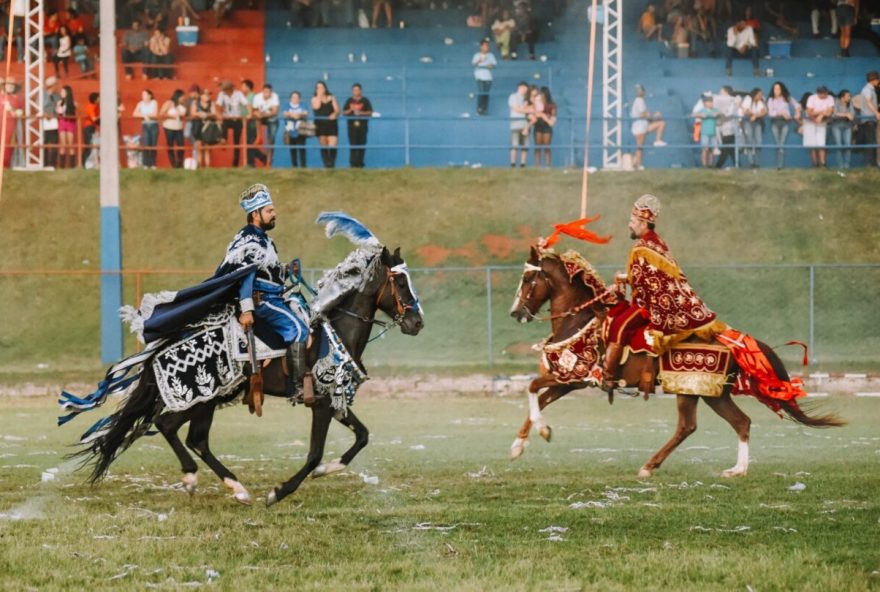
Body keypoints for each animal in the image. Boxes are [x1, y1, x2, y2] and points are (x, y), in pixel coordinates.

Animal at [72, 245, 422, 504]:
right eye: (399, 283)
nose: (417, 322)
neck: (336, 333)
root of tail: (166, 342)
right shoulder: (321, 403)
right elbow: (314, 453)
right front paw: (279, 492)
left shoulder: (335, 398)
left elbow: (362, 436)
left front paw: (328, 470)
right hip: (201, 396)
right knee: (172, 427)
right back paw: (209, 481)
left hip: (209, 399)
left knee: (189, 436)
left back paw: (225, 485)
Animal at [512, 245, 844, 480]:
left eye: (528, 278)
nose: (516, 313)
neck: (578, 320)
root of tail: (729, 339)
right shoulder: (567, 381)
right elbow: (540, 398)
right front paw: (520, 444)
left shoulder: (574, 375)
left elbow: (532, 388)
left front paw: (540, 433)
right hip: (712, 393)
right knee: (741, 422)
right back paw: (737, 470)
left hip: (689, 389)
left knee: (687, 426)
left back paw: (649, 466)